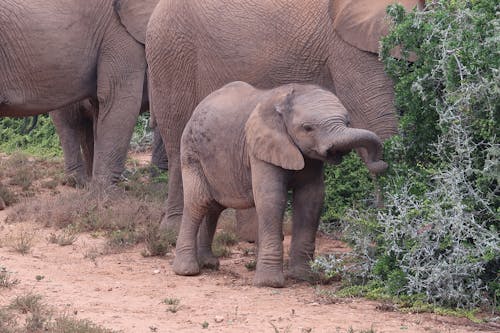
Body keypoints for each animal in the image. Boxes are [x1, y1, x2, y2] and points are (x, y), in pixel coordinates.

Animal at [0, 0, 158, 184]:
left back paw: (79, 182)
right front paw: (106, 192)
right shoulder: (118, 31)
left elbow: (101, 107)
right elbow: (118, 98)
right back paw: (80, 182)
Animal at [145, 0, 422, 231]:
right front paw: (390, 228)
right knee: (177, 138)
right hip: (171, 52)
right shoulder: (348, 45)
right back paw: (173, 229)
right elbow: (378, 121)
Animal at [174, 81, 388, 286]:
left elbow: (311, 199)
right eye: (307, 128)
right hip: (191, 151)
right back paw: (187, 270)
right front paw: (270, 283)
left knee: (214, 206)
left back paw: (209, 264)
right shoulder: (260, 148)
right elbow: (272, 198)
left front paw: (304, 277)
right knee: (199, 202)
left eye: (347, 122)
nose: (381, 163)